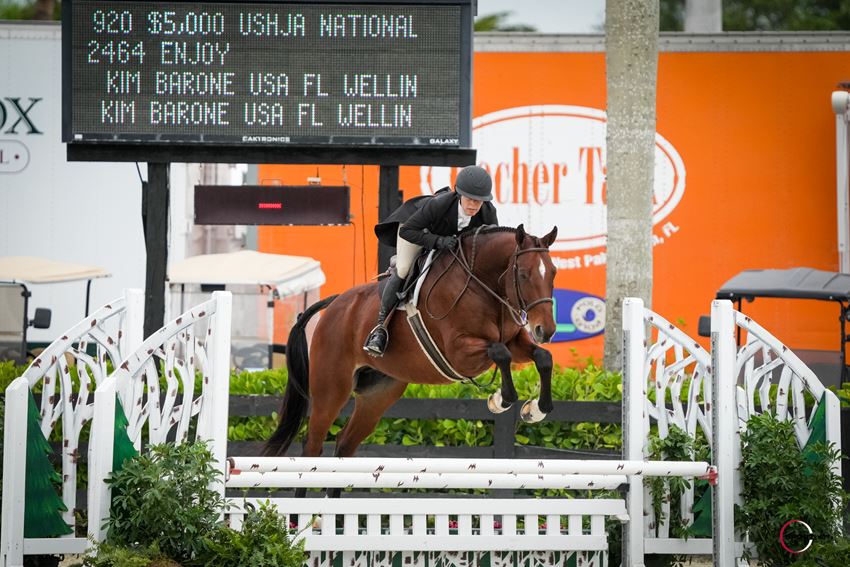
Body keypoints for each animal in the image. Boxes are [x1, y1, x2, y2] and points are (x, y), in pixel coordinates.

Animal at [264, 224, 556, 460]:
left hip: (378, 394)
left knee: (345, 443)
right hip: (331, 390)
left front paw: (536, 410)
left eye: (552, 272)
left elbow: (542, 357)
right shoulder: (459, 353)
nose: (546, 331)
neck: (481, 284)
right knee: (312, 445)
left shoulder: (515, 341)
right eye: (523, 274)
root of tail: (334, 303)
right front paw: (500, 400)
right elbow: (500, 353)